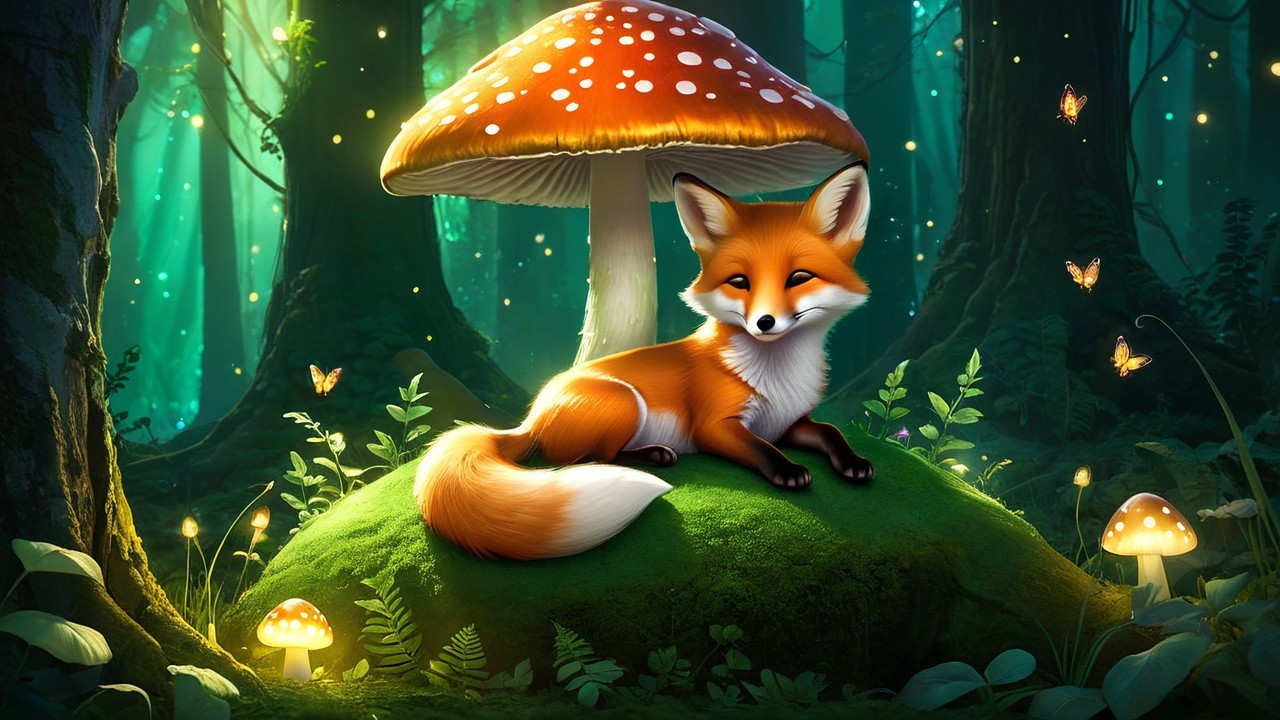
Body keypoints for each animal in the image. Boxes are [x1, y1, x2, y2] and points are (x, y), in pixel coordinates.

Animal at [414, 163, 876, 560]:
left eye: (799, 278)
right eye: (739, 281)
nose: (764, 322)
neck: (777, 375)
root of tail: (532, 415)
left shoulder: (789, 421)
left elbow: (831, 432)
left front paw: (853, 463)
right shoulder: (715, 426)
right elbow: (760, 449)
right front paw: (788, 470)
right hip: (624, 403)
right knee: (584, 460)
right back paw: (654, 455)